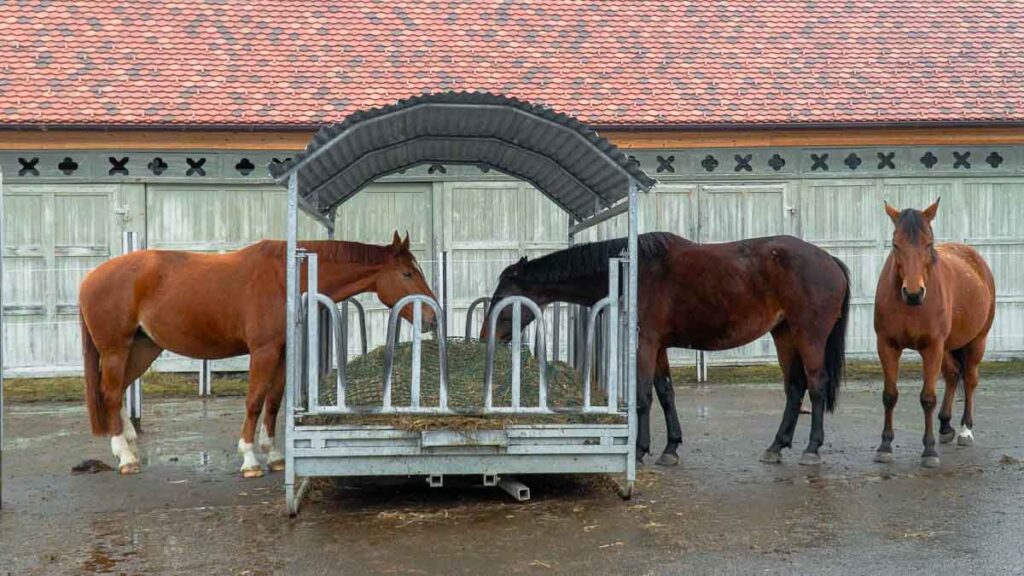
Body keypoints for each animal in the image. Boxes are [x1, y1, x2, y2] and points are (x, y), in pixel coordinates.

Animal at [79, 231, 436, 477]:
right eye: (407, 274)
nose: (432, 318)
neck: (285, 278)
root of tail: (90, 277)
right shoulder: (263, 351)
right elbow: (254, 400)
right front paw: (250, 459)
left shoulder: (282, 352)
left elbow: (274, 401)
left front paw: (274, 456)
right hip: (115, 350)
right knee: (110, 394)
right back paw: (125, 457)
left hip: (143, 349)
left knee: (120, 390)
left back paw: (130, 446)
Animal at [482, 232, 850, 466]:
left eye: (502, 296)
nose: (487, 335)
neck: (634, 272)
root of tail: (829, 260)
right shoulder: (658, 347)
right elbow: (665, 393)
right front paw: (671, 448)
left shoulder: (645, 344)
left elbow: (643, 397)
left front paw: (640, 450)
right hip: (784, 334)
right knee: (794, 388)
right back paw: (776, 446)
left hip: (808, 336)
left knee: (816, 386)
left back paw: (811, 449)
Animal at [873, 200, 995, 468]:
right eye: (895, 244)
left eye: (928, 244)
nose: (913, 293)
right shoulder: (887, 346)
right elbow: (889, 395)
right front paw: (885, 446)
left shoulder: (932, 348)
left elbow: (928, 398)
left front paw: (929, 451)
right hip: (948, 346)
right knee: (952, 375)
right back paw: (946, 425)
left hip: (976, 341)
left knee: (969, 378)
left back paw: (965, 430)